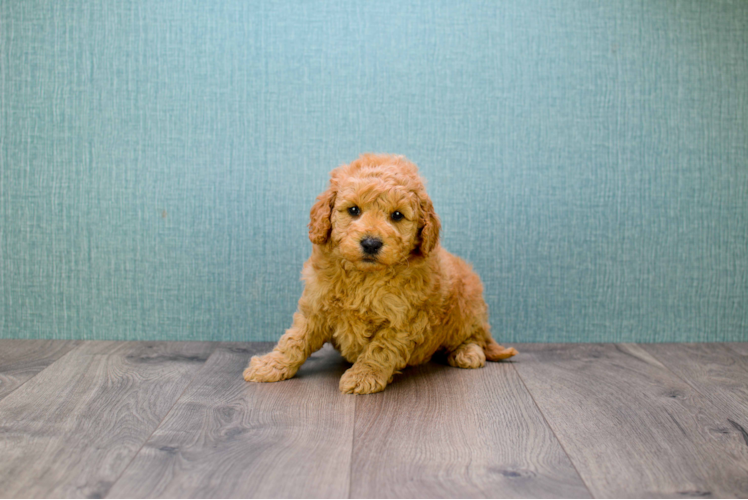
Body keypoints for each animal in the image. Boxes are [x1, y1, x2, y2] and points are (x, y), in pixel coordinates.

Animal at [243, 153, 516, 394]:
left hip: (467, 305)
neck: (365, 276)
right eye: (354, 210)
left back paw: (467, 352)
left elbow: (380, 349)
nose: (371, 243)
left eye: (397, 215)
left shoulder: (404, 320)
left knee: (475, 336)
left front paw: (363, 375)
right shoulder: (316, 305)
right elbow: (294, 339)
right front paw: (270, 365)